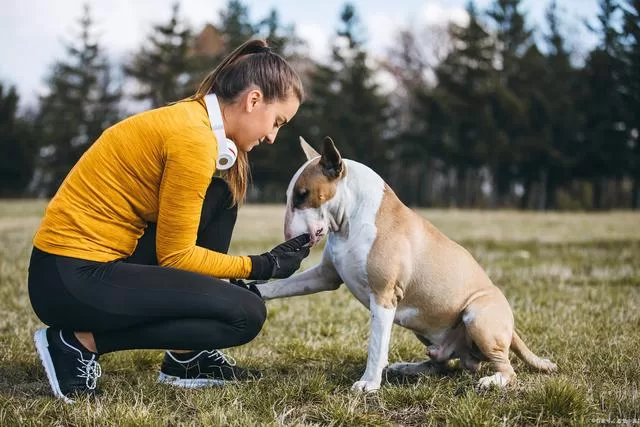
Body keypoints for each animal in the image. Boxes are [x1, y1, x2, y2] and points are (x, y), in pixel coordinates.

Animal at [255, 138, 556, 394]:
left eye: (303, 195)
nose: (288, 238)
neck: (351, 219)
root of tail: (512, 330)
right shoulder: (325, 276)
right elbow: (281, 285)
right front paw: (257, 290)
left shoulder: (383, 297)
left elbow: (376, 346)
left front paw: (368, 384)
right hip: (426, 328)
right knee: (442, 364)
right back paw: (408, 368)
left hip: (477, 314)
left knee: (506, 369)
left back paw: (491, 381)